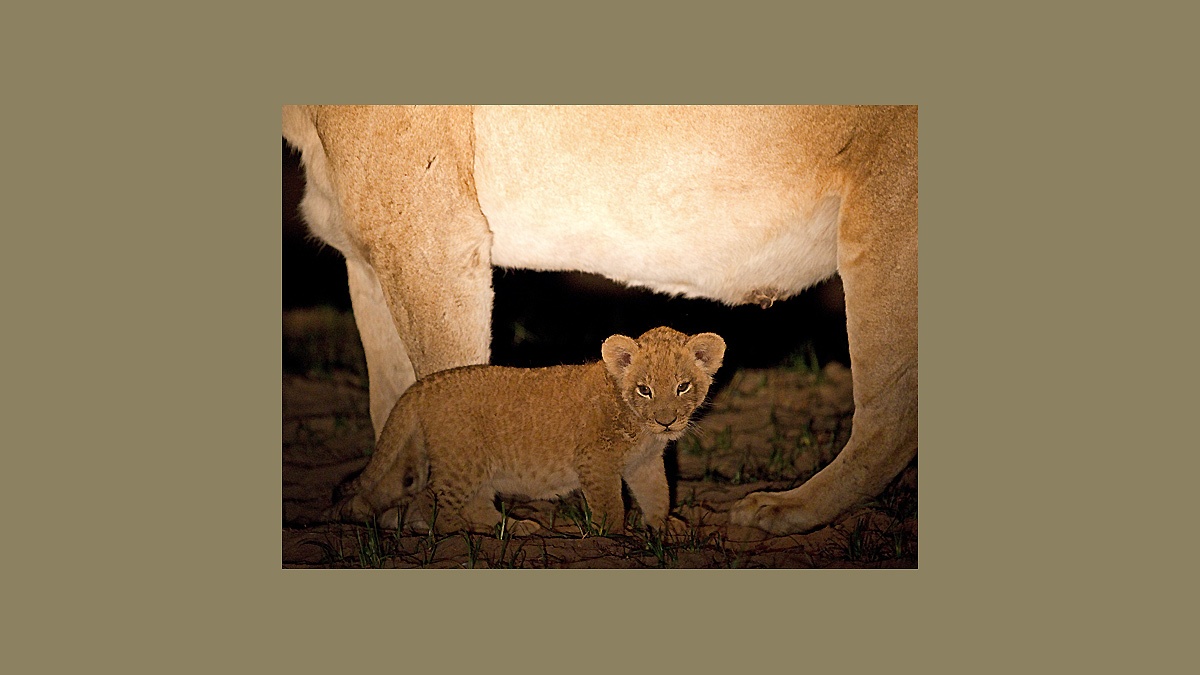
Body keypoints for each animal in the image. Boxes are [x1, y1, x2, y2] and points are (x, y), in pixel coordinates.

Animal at [330, 327, 725, 535]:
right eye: (644, 390)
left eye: (682, 387)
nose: (666, 421)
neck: (642, 429)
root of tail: (426, 384)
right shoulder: (596, 463)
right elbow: (610, 505)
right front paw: (614, 537)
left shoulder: (644, 464)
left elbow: (658, 494)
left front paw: (666, 525)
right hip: (462, 464)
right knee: (428, 503)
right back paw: (456, 531)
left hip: (479, 470)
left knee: (476, 505)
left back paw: (513, 528)